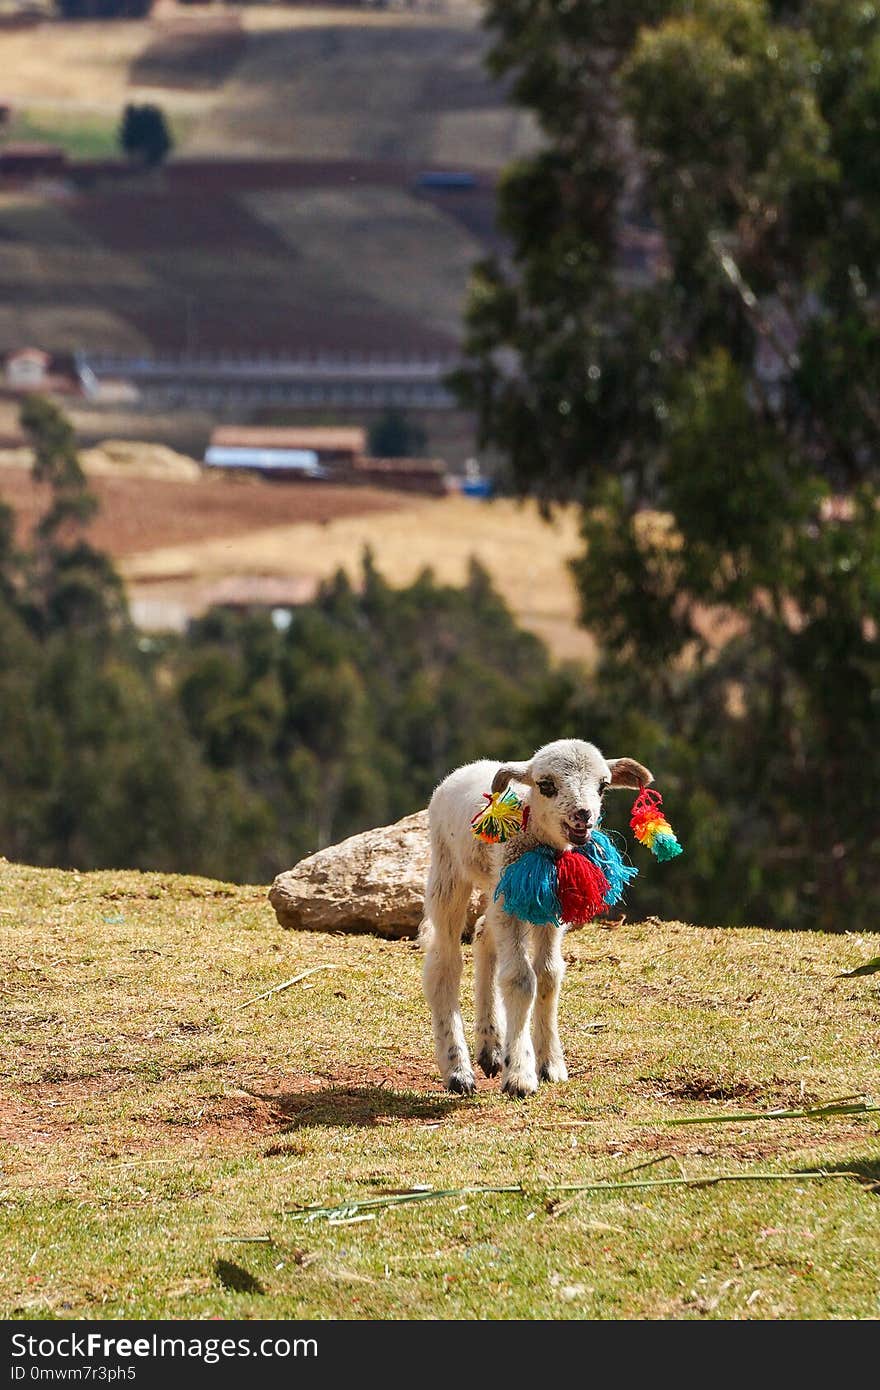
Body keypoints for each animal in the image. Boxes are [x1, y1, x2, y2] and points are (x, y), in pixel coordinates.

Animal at [419, 739, 653, 1095]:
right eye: (546, 785)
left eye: (603, 785)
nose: (583, 815)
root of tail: (469, 767)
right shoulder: (514, 900)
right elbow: (520, 979)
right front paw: (520, 1074)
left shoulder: (547, 906)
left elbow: (548, 975)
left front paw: (551, 1064)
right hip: (449, 870)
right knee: (444, 964)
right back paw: (458, 1069)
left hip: (497, 886)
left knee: (483, 934)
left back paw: (490, 1047)